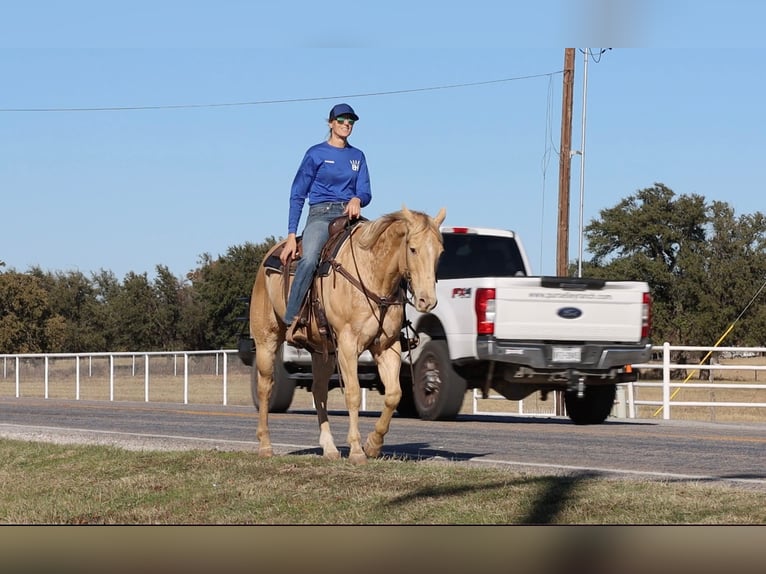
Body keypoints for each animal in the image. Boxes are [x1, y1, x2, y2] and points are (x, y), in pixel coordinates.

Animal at [249, 205, 446, 464]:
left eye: (440, 252)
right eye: (412, 249)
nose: (427, 301)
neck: (372, 274)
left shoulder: (387, 346)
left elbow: (393, 394)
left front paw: (373, 445)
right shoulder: (348, 345)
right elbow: (352, 394)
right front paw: (356, 449)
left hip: (322, 351)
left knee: (319, 391)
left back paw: (330, 448)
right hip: (267, 340)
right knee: (265, 387)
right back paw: (265, 445)